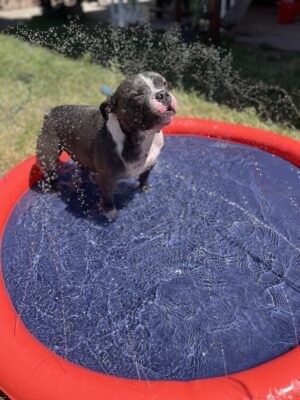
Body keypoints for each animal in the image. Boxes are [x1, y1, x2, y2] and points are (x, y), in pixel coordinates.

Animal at [35, 70, 176, 219]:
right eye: (136, 94)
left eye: (165, 84)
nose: (163, 94)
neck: (145, 137)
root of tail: (50, 113)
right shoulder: (106, 180)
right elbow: (107, 197)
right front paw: (110, 212)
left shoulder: (150, 164)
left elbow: (144, 177)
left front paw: (144, 188)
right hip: (48, 157)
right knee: (50, 173)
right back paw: (54, 189)